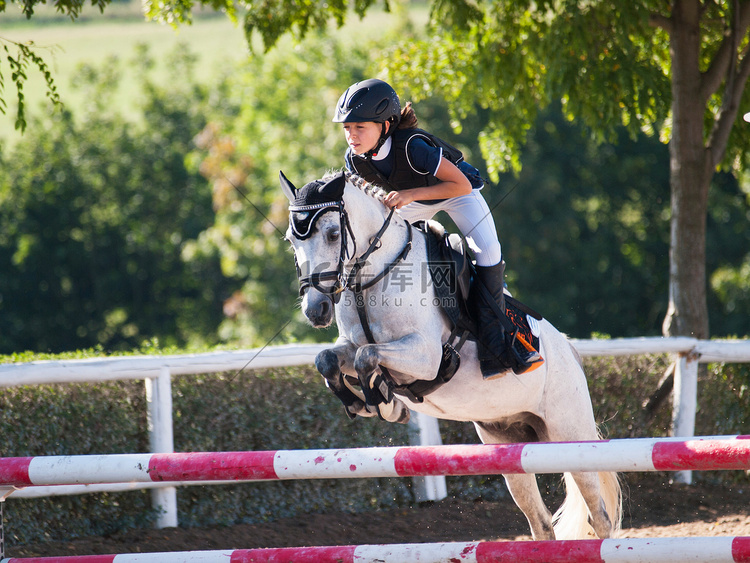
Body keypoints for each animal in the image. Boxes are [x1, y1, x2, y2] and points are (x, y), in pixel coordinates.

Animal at [282, 171, 624, 540]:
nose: (315, 310)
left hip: (569, 433)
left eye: (333, 234)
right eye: (291, 240)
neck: (373, 275)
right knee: (542, 524)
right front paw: (372, 403)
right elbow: (329, 359)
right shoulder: (351, 345)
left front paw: (382, 402)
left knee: (599, 517)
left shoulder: (426, 355)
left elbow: (368, 357)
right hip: (508, 443)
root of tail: (570, 352)